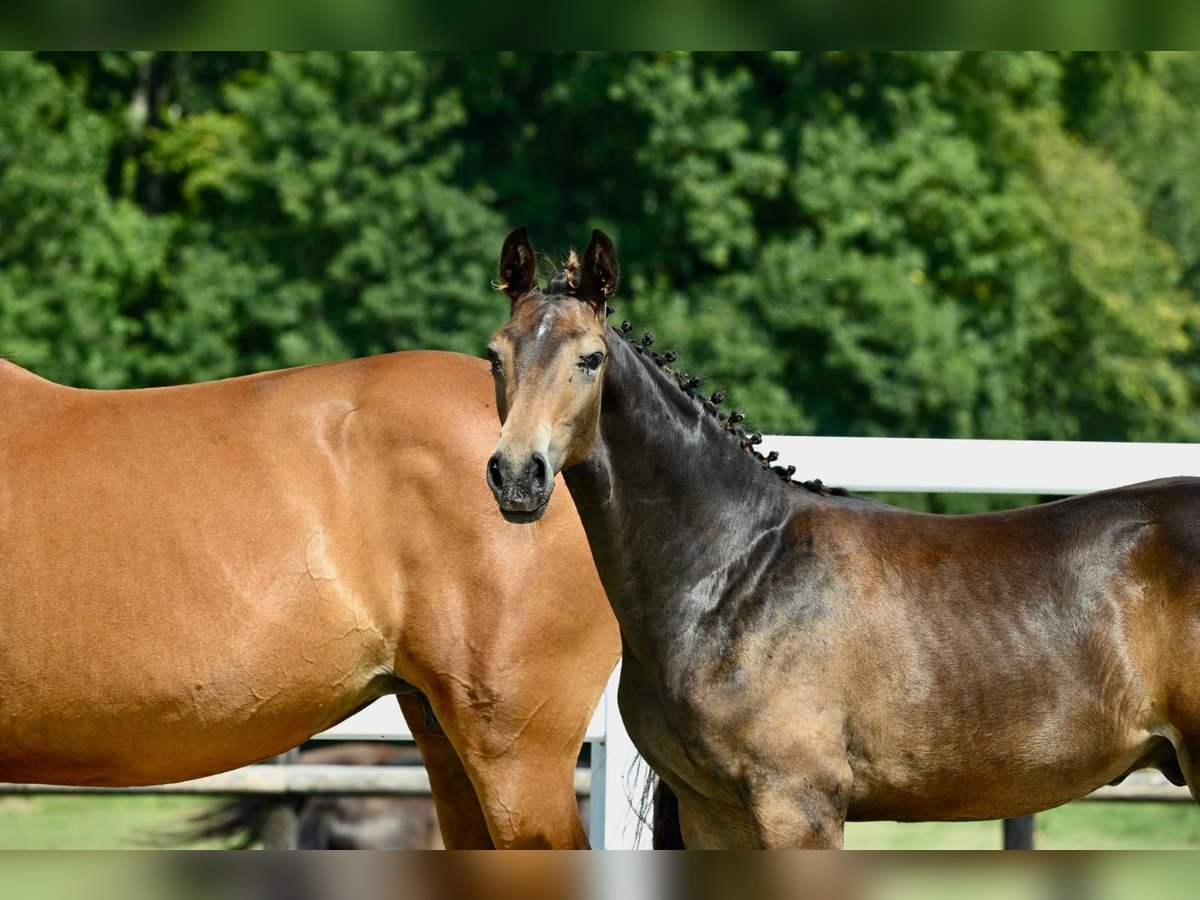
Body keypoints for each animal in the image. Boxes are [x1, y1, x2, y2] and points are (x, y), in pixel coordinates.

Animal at [482, 229, 1200, 849]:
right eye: (496, 355)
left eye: (590, 359)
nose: (517, 474)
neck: (734, 571)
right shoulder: (713, 813)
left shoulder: (797, 804)